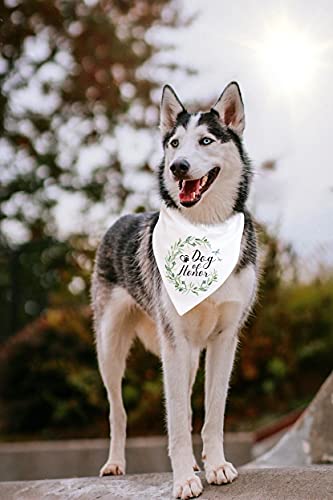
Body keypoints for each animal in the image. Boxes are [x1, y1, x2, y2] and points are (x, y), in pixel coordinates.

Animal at [91, 80, 256, 498]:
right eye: (175, 143)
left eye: (206, 140)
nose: (177, 166)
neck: (204, 230)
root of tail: (120, 220)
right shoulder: (174, 341)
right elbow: (177, 422)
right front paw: (183, 479)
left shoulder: (225, 339)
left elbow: (212, 414)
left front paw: (216, 466)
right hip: (110, 349)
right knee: (118, 411)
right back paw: (115, 463)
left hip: (189, 355)